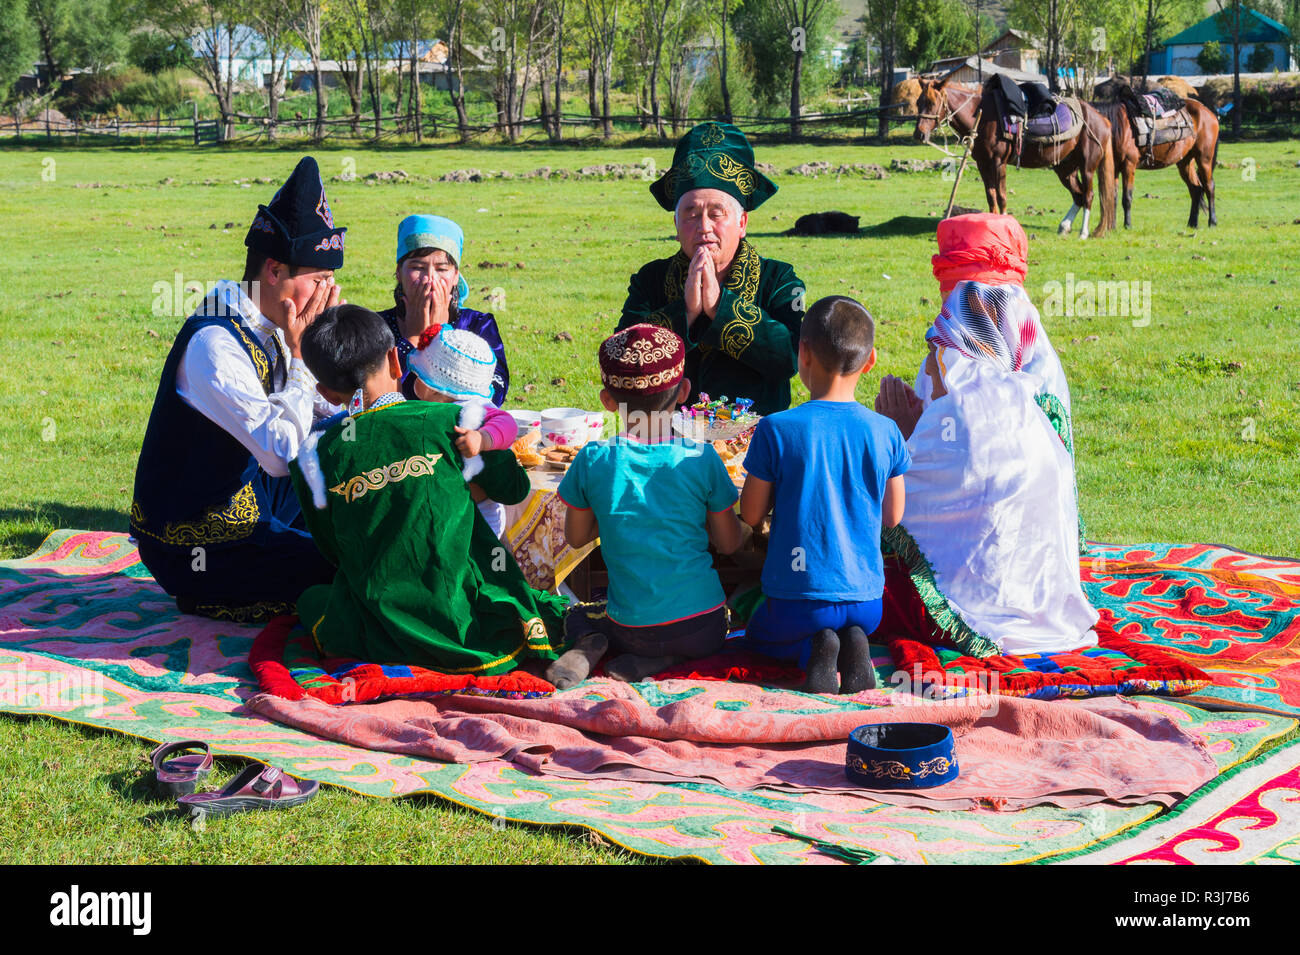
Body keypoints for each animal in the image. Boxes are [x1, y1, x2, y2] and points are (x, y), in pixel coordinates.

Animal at [915, 74, 1118, 239]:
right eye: (918, 102)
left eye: (932, 103)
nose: (919, 134)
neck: (982, 116)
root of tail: (1102, 119)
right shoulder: (983, 163)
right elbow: (991, 196)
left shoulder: (998, 163)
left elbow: (1002, 196)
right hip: (1065, 168)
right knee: (1078, 195)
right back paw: (1064, 226)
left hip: (1087, 166)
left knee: (1089, 195)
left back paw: (1083, 233)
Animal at [1097, 80, 1216, 229]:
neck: (1119, 127)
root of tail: (1208, 112)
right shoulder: (1115, 167)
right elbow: (1113, 197)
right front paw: (1111, 227)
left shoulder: (1129, 165)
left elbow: (1127, 198)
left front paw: (1127, 225)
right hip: (1185, 162)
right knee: (1196, 189)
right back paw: (1192, 223)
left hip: (1204, 158)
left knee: (1209, 186)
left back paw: (1212, 222)